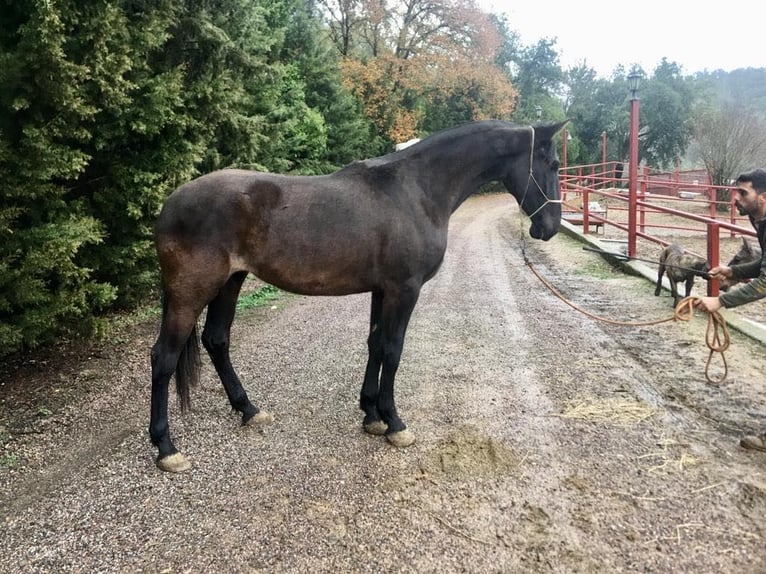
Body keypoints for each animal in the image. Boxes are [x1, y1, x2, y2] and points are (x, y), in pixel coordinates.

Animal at [152, 118, 568, 472]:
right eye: (553, 163)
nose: (549, 227)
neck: (416, 191)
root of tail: (170, 204)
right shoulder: (404, 290)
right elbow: (393, 351)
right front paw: (395, 423)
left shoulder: (383, 290)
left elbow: (375, 345)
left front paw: (371, 414)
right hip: (193, 291)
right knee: (164, 357)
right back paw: (167, 449)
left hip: (230, 283)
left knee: (216, 340)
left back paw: (249, 410)